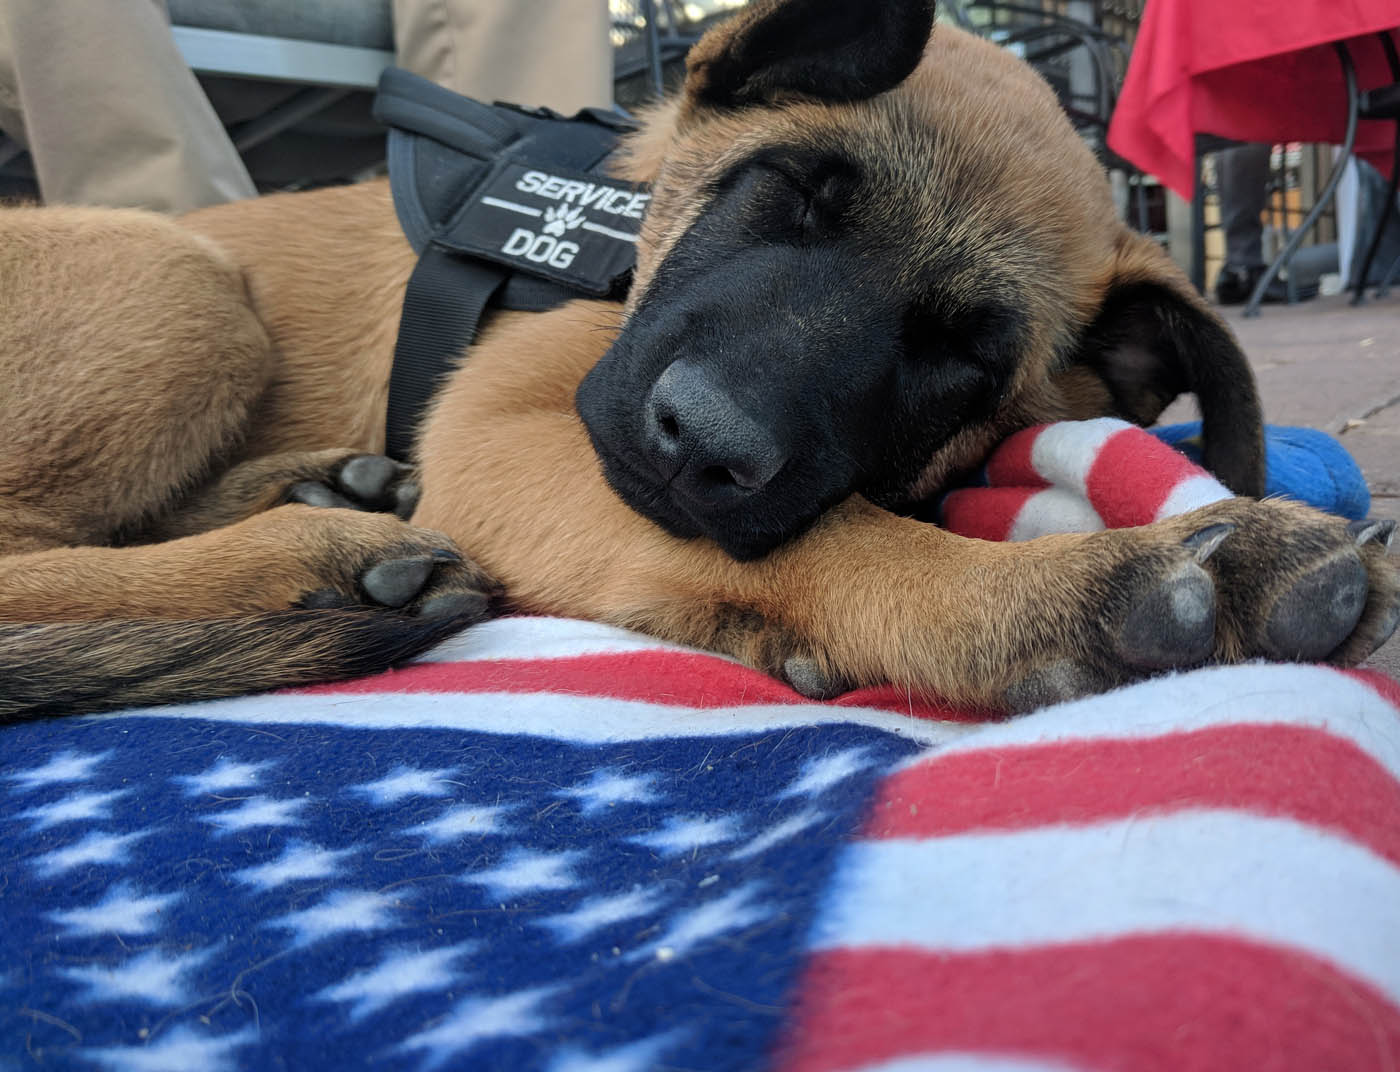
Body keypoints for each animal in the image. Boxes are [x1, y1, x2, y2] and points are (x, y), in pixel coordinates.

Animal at [0, 2, 1394, 722]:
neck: (625, 242)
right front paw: (1086, 594)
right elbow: (834, 538)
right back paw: (309, 550)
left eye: (964, 355)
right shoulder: (505, 431)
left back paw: (322, 490)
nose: (704, 442)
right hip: (184, 281)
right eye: (785, 190)